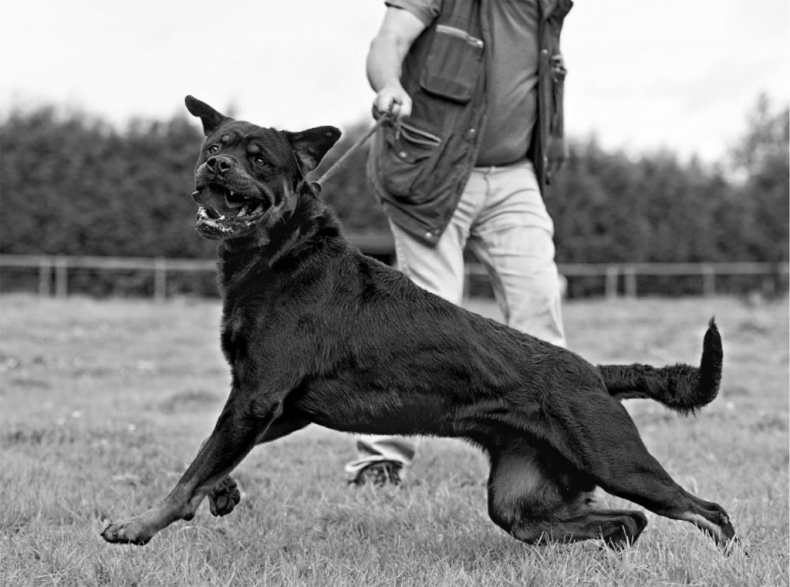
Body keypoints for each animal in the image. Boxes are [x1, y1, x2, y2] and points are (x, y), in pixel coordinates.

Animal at [102, 95, 740, 552]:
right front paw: (223, 493)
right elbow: (213, 461)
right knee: (625, 521)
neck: (278, 257)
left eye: (258, 158)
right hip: (523, 502)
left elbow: (192, 471)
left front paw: (137, 526)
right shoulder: (277, 406)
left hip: (616, 461)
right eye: (215, 144)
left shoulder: (258, 397)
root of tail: (595, 372)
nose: (217, 163)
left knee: (706, 511)